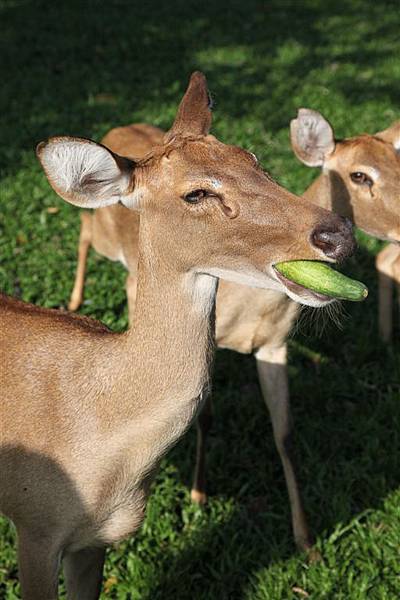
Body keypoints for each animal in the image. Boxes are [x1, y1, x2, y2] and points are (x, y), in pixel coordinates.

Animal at [64, 104, 398, 552]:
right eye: (360, 175)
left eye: (398, 161)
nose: (340, 235)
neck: (248, 309)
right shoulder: (212, 343)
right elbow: (205, 418)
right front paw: (198, 495)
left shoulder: (275, 345)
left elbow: (285, 434)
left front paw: (306, 541)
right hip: (104, 237)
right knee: (84, 233)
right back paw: (74, 300)